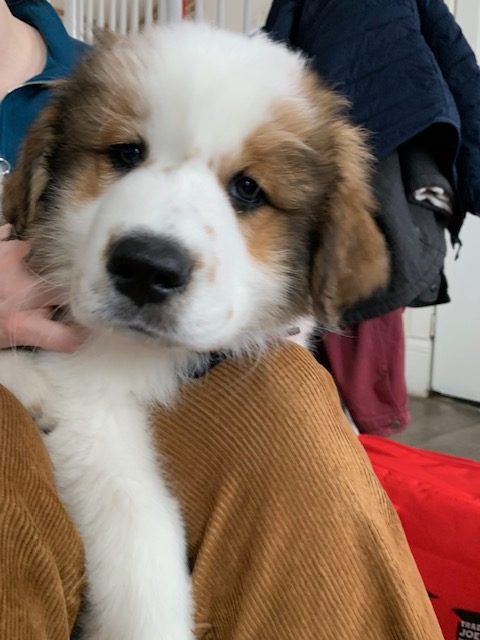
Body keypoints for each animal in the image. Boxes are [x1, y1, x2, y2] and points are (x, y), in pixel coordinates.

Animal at [0, 22, 388, 640]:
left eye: (249, 189)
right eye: (125, 153)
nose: (145, 267)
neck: (150, 354)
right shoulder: (88, 402)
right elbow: (137, 522)